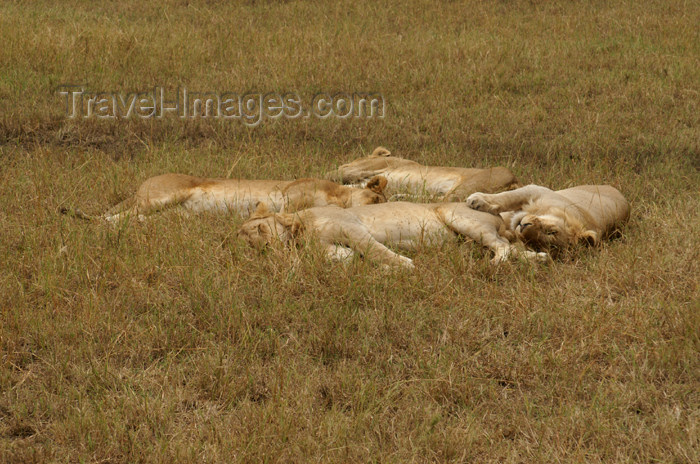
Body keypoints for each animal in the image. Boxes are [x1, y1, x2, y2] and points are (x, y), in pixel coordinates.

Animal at [326, 148, 520, 200]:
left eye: (347, 161)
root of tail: (516, 181)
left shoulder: (374, 166)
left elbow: (334, 173)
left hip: (468, 186)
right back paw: (400, 197)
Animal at [468, 185, 632, 258]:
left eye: (535, 246)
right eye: (551, 231)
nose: (523, 226)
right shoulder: (535, 190)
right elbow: (507, 196)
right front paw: (477, 200)